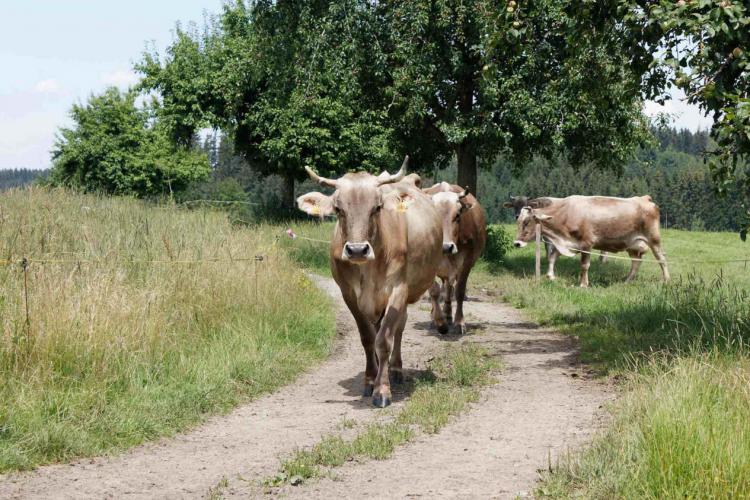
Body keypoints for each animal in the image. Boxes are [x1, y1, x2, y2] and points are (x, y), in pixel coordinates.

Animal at [296, 156, 444, 406]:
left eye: (377, 208)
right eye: (338, 209)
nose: (357, 250)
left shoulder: (397, 289)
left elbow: (384, 339)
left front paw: (382, 390)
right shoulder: (348, 294)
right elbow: (367, 338)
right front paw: (370, 380)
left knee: (398, 328)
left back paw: (395, 370)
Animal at [424, 182, 488, 334]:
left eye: (458, 215)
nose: (446, 247)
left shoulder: (467, 262)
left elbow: (459, 291)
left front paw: (459, 322)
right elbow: (434, 291)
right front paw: (439, 321)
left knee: (449, 288)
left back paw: (448, 314)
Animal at [516, 196, 672, 290]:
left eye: (527, 221)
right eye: (517, 220)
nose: (516, 243)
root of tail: (644, 198)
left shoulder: (586, 243)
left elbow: (584, 265)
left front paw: (583, 284)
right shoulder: (570, 243)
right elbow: (552, 257)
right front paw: (550, 276)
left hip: (654, 239)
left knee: (661, 259)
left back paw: (666, 281)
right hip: (633, 245)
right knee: (636, 263)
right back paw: (626, 281)